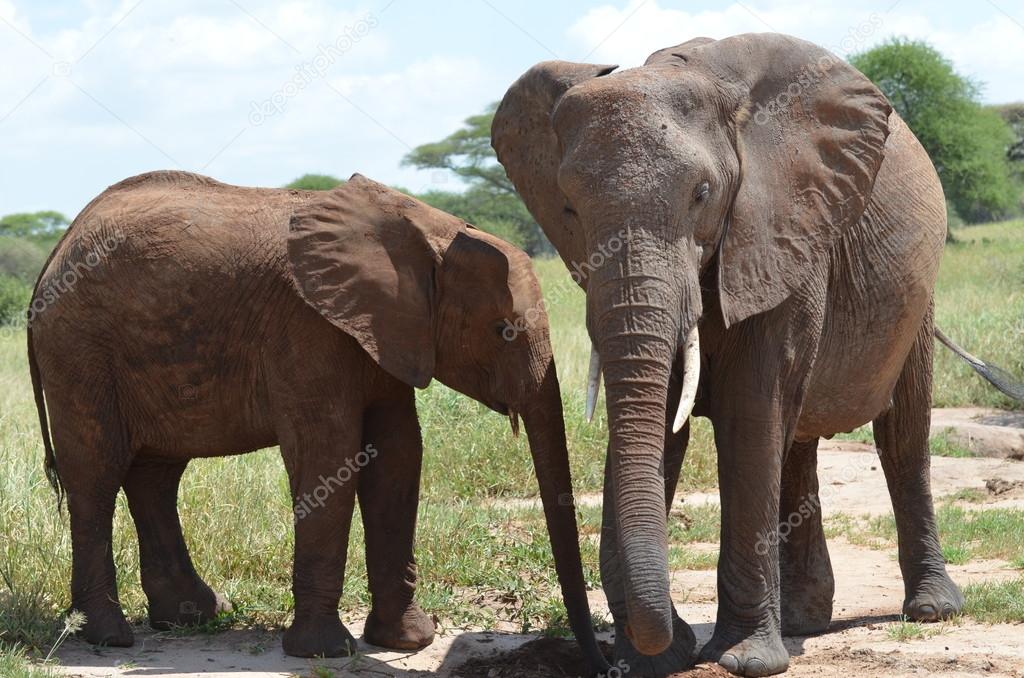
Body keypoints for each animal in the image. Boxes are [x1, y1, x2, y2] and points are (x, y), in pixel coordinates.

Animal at [28, 171, 606, 675]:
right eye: (502, 330)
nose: (594, 660)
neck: (427, 231)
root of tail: (56, 249)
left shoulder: (387, 335)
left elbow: (399, 458)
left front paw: (408, 642)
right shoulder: (309, 328)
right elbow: (330, 455)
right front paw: (324, 652)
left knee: (155, 475)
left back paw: (192, 617)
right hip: (80, 352)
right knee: (96, 477)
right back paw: (109, 636)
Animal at [489, 34, 1015, 678]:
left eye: (702, 194)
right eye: (568, 207)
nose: (655, 643)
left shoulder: (782, 229)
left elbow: (750, 412)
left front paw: (743, 660)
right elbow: (669, 419)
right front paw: (655, 661)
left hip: (919, 294)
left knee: (902, 436)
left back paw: (931, 610)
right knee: (797, 442)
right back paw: (803, 622)